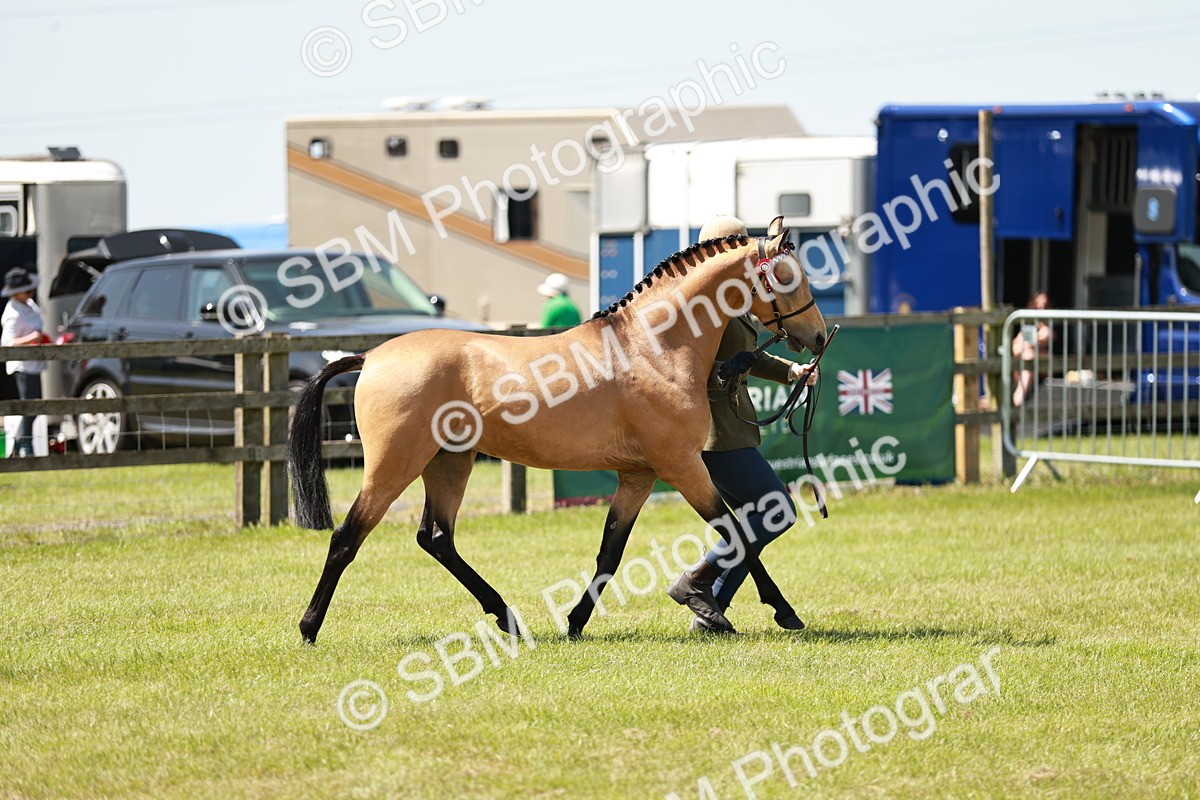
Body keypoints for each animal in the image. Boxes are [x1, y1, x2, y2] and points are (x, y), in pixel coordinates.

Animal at [289, 216, 828, 643]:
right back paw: (309, 627)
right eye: (786, 277)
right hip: (394, 464)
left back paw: (507, 617)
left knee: (437, 538)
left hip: (449, 463)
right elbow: (737, 532)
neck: (653, 346)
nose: (820, 336)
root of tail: (372, 355)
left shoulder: (639, 476)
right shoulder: (682, 466)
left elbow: (610, 552)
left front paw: (575, 622)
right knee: (347, 537)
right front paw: (780, 611)